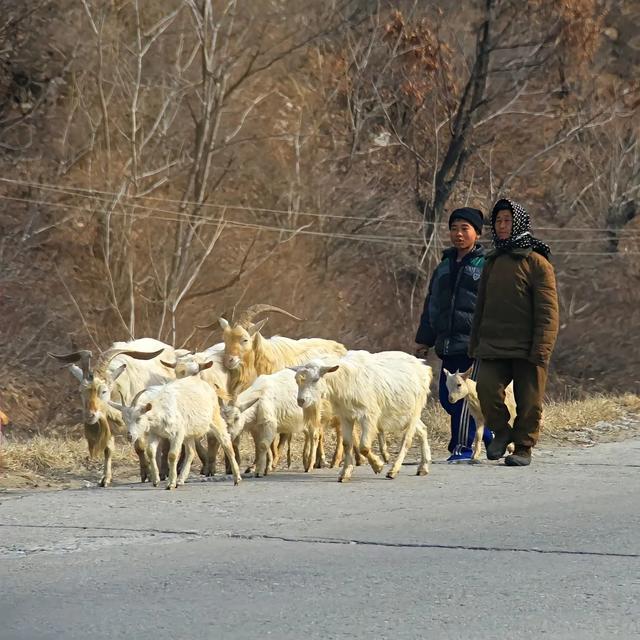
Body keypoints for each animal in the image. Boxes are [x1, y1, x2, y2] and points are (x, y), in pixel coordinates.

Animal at [109, 376, 241, 490]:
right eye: (124, 419)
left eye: (139, 418)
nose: (130, 436)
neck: (160, 409)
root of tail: (207, 386)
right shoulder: (155, 433)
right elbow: (150, 452)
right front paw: (156, 480)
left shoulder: (177, 433)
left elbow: (172, 455)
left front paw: (170, 484)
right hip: (188, 432)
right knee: (191, 451)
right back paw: (181, 480)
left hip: (215, 418)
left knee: (226, 444)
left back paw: (237, 478)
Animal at [292, 352, 432, 482]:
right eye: (297, 381)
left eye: (315, 379)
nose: (301, 401)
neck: (344, 379)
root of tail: (424, 366)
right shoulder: (346, 416)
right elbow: (347, 444)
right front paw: (345, 473)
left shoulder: (369, 415)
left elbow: (364, 446)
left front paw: (378, 466)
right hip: (404, 413)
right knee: (423, 429)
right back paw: (423, 467)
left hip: (415, 409)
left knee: (407, 439)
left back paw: (394, 470)